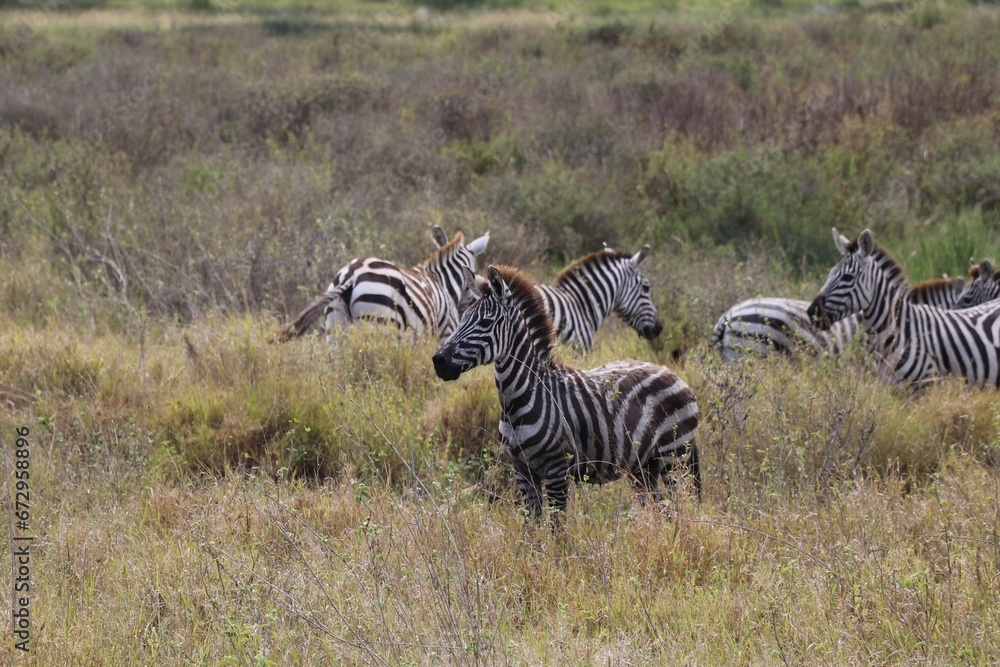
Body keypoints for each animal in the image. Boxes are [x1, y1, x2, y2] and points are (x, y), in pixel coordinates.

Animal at [276, 228, 489, 341]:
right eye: (474, 271)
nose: (472, 302)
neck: (441, 280)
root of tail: (351, 275)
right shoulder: (445, 330)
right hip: (379, 322)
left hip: (335, 324)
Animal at [432, 265, 700, 521]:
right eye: (461, 318)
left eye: (485, 323)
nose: (438, 361)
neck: (521, 398)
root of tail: (672, 373)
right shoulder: (522, 471)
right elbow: (531, 527)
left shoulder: (556, 470)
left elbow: (556, 528)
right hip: (643, 468)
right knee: (661, 513)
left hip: (675, 458)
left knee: (683, 508)